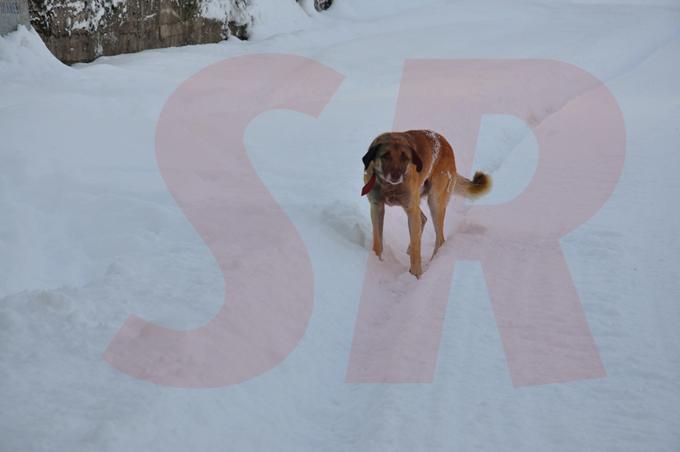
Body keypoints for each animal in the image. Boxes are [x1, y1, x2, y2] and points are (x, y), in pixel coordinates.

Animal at [362, 131, 488, 278]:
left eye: (405, 158)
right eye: (385, 156)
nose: (396, 176)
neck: (390, 186)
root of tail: (445, 143)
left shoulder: (411, 209)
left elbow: (416, 251)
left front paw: (415, 276)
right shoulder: (377, 206)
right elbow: (378, 242)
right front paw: (376, 263)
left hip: (435, 202)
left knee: (440, 238)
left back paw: (434, 262)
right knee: (423, 219)